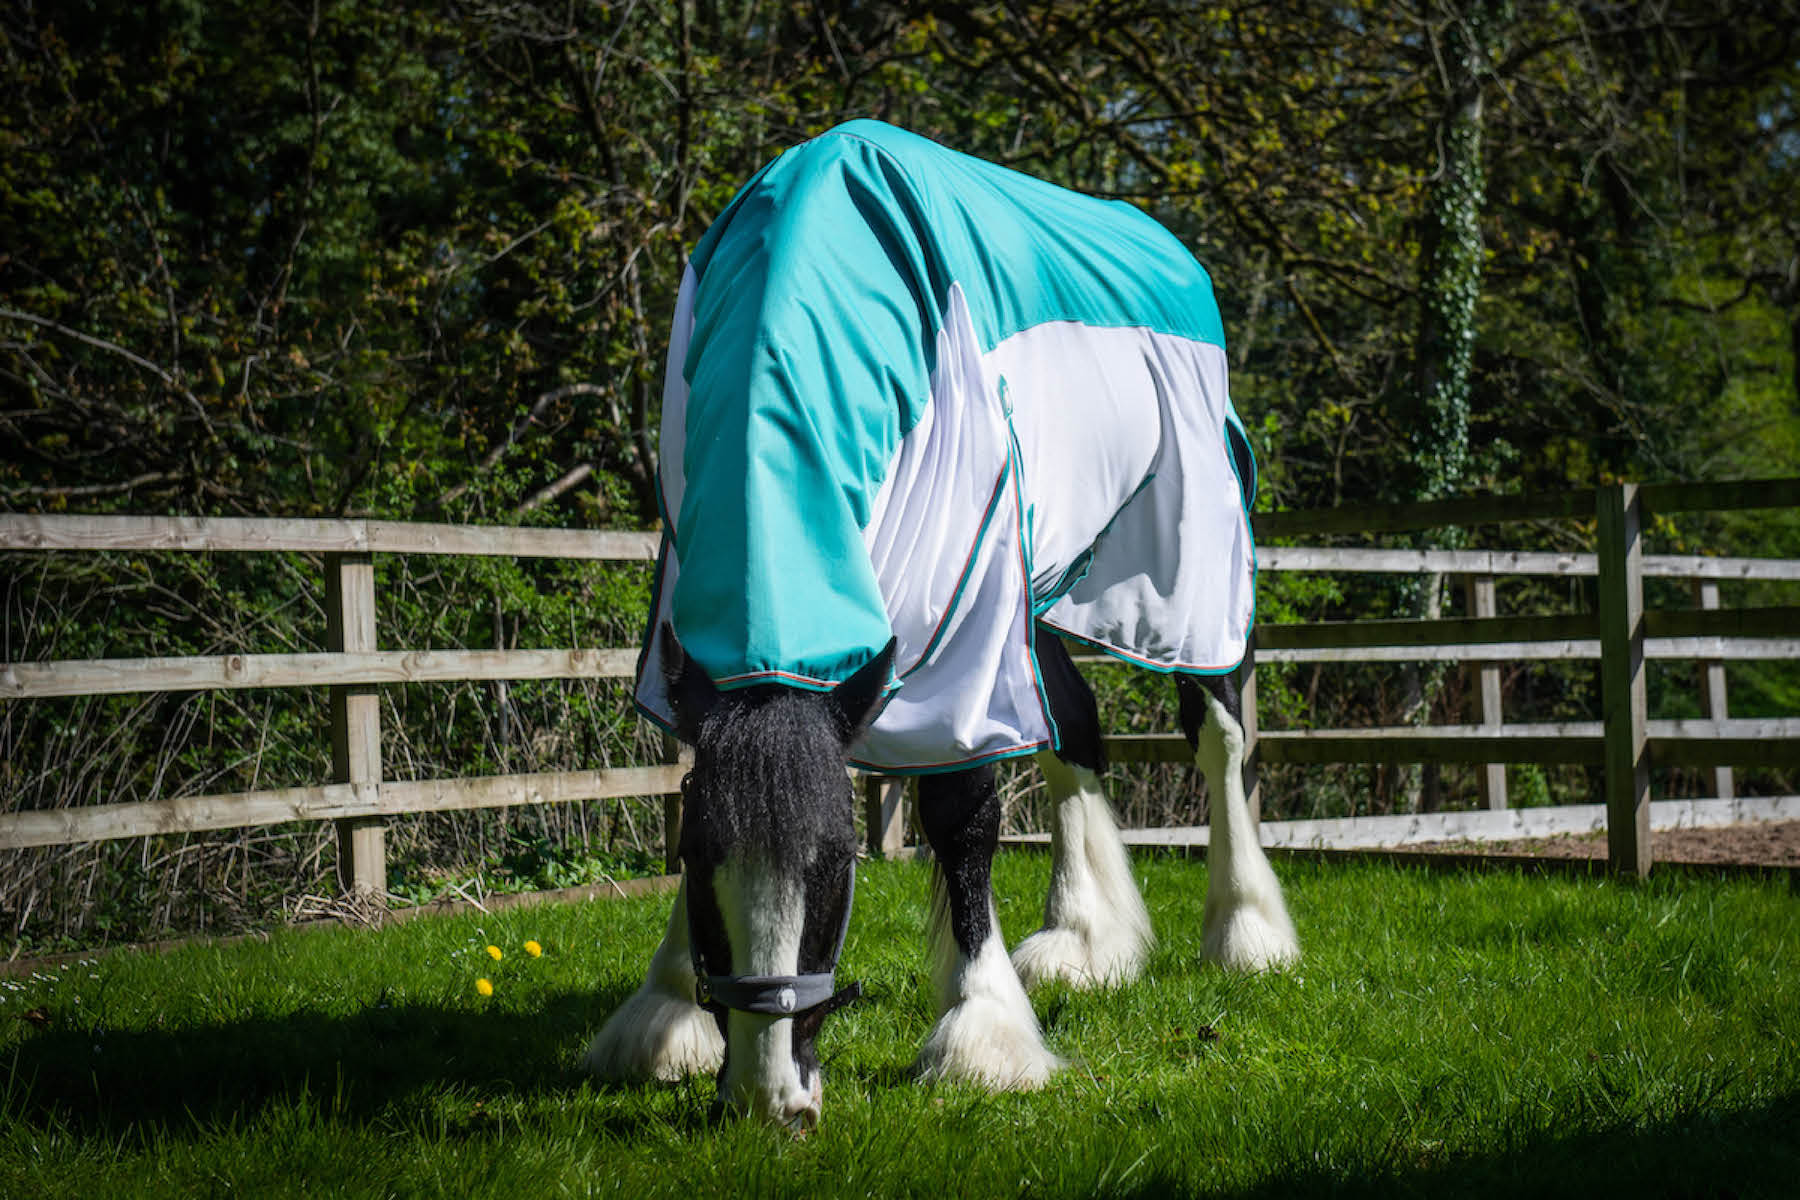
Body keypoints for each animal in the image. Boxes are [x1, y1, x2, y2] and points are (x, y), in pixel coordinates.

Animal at [583, 121, 1299, 1129]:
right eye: (695, 858)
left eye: (834, 862)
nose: (770, 1100)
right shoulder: (702, 659)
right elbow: (707, 778)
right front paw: (668, 1009)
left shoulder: (967, 629)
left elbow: (963, 814)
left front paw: (982, 1032)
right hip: (1041, 588)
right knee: (1072, 727)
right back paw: (1085, 937)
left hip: (1192, 575)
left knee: (1219, 731)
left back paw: (1245, 933)